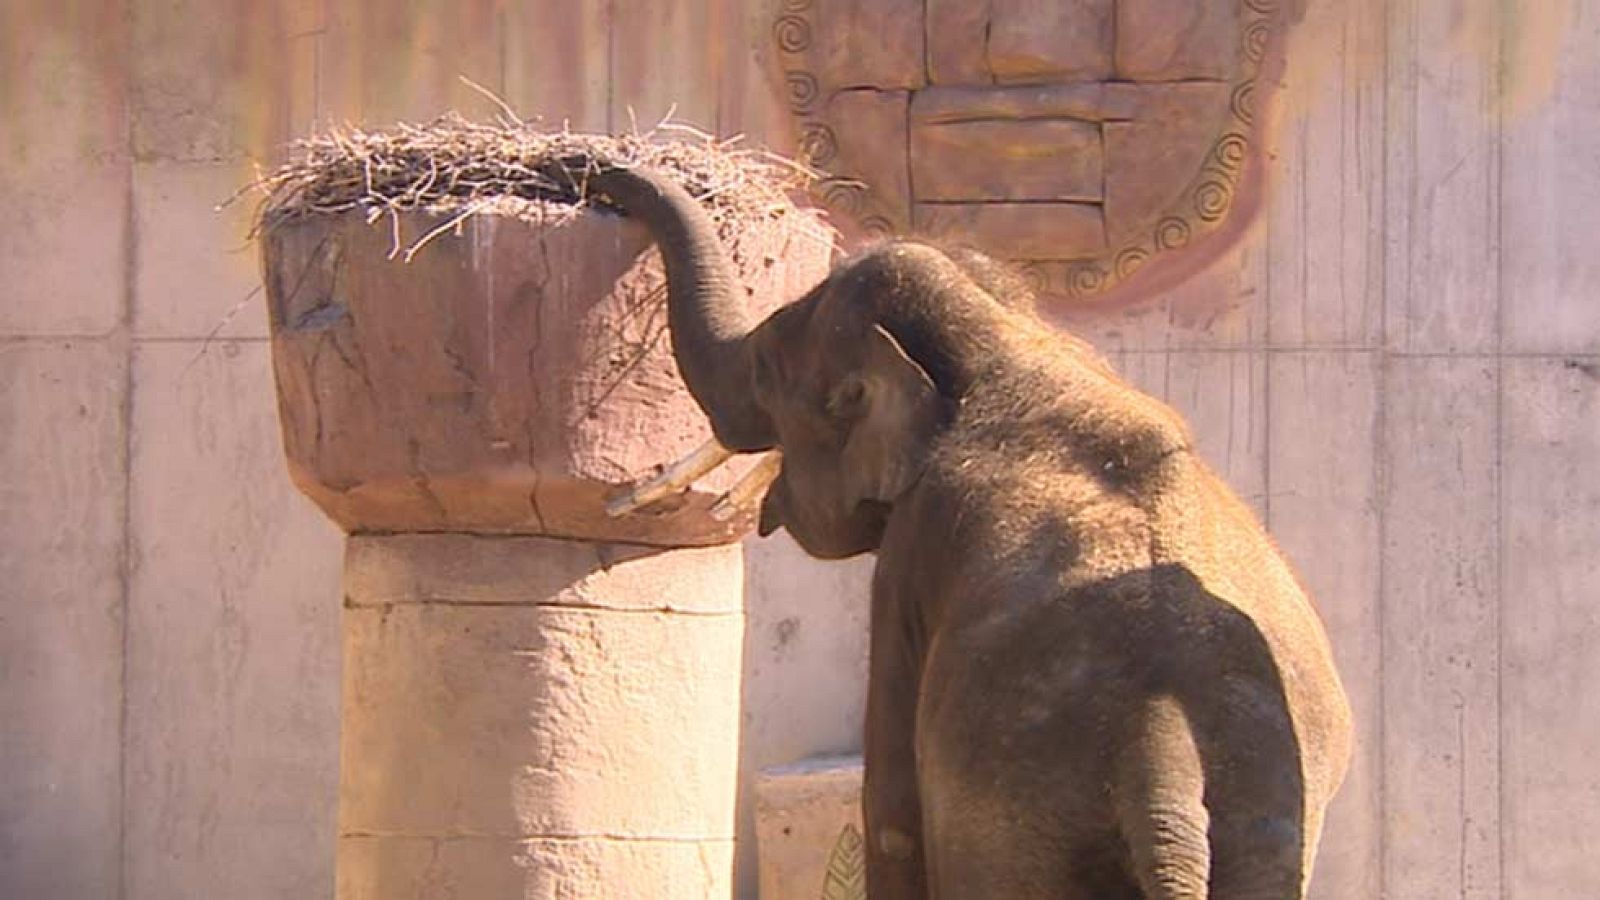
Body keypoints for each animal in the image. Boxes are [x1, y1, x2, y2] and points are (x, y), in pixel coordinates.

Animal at [577, 164, 1353, 899]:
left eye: (767, 371)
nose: (593, 172)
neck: (1004, 338)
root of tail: (1163, 761)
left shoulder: (910, 555)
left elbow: (890, 803)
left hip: (1014, 820)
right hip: (1263, 823)